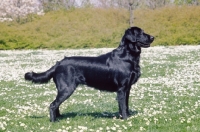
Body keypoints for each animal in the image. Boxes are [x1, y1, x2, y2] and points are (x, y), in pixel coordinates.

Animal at [24, 26, 153, 121]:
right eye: (140, 33)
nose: (153, 37)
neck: (127, 55)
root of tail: (58, 63)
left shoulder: (127, 88)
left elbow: (126, 104)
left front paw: (128, 117)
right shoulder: (121, 89)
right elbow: (123, 106)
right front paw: (126, 119)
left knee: (56, 105)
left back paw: (59, 118)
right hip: (67, 88)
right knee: (52, 105)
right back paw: (53, 122)